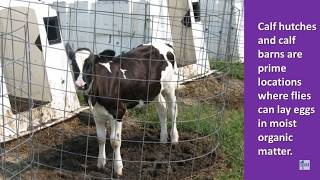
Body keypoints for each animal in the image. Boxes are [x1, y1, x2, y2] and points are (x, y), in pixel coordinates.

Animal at [65, 41, 180, 176]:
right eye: (73, 64)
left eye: (91, 65)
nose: (80, 84)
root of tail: (163, 42)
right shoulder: (97, 114)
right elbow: (101, 138)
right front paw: (100, 164)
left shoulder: (118, 112)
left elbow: (115, 141)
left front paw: (118, 168)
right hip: (155, 90)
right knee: (162, 109)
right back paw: (163, 139)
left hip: (170, 87)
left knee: (172, 110)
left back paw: (174, 139)